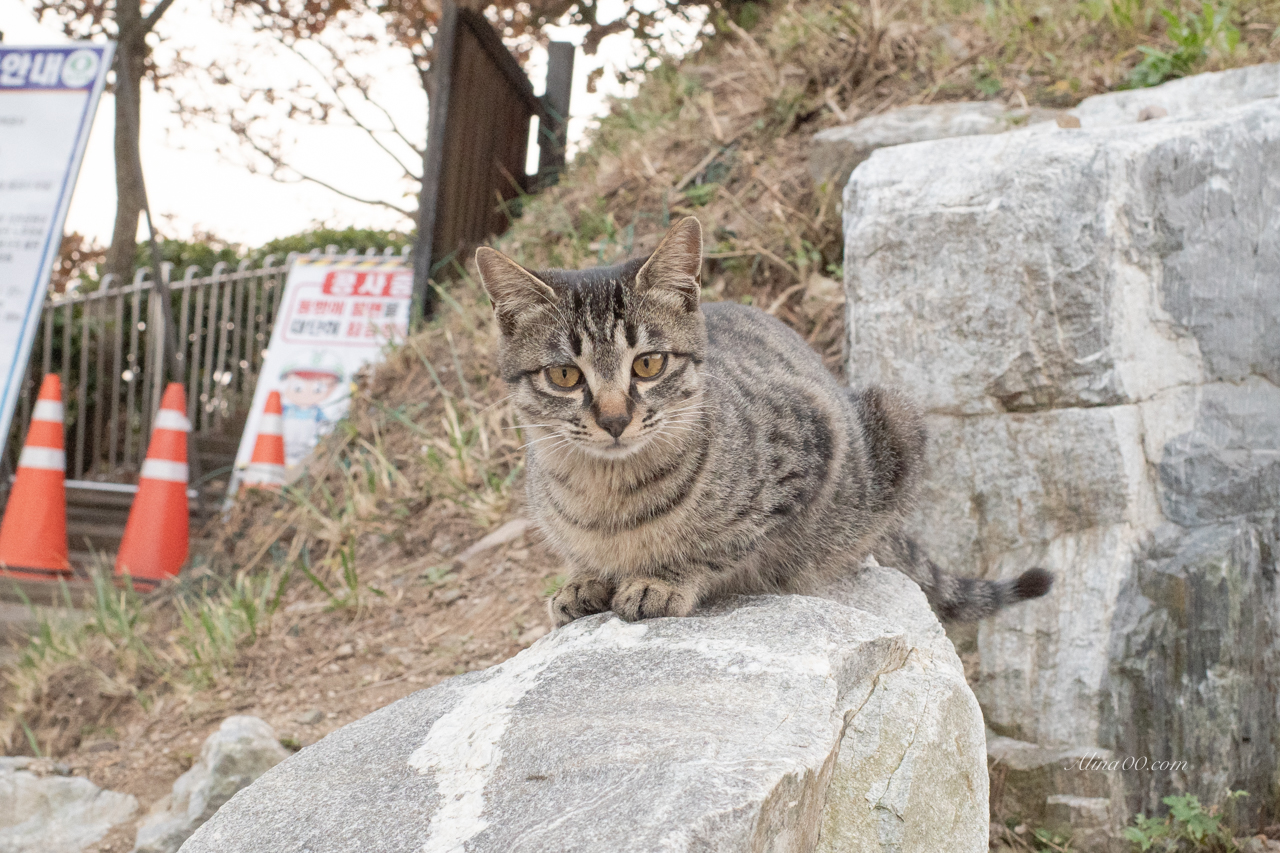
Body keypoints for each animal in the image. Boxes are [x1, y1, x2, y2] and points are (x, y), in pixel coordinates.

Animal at [473, 216, 1049, 622]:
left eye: (649, 364)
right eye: (565, 375)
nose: (615, 420)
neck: (607, 495)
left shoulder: (807, 450)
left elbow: (724, 545)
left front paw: (661, 579)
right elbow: (581, 555)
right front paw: (581, 579)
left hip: (894, 419)